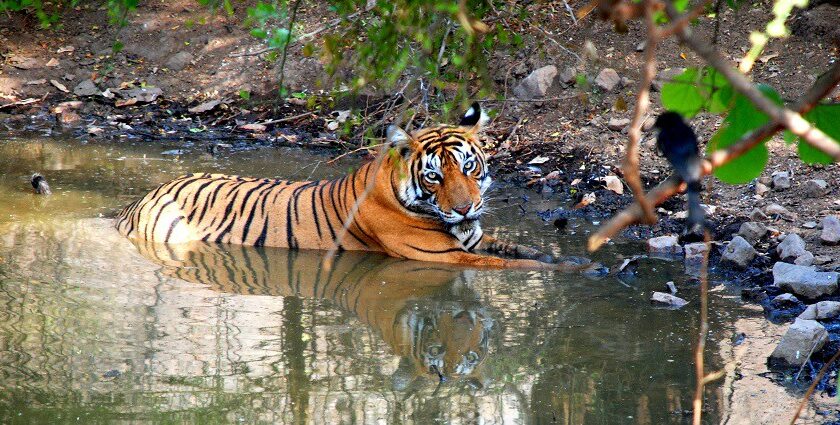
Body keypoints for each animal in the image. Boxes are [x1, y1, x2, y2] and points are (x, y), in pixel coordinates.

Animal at [118, 102, 576, 268]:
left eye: (468, 167)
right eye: (434, 176)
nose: (465, 209)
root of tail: (137, 202)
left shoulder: (475, 239)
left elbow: (521, 250)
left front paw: (566, 259)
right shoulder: (447, 257)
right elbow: (516, 266)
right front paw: (574, 271)